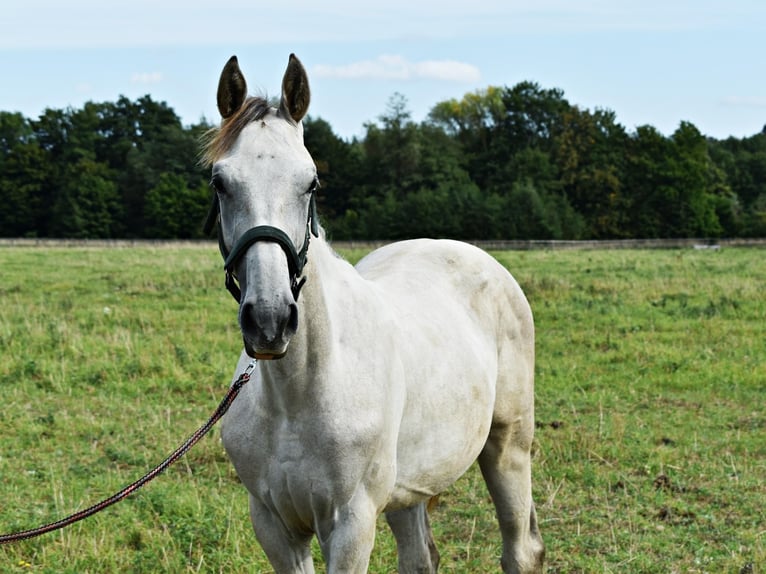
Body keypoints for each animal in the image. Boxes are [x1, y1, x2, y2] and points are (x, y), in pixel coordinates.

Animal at [201, 54, 544, 574]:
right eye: (221, 182)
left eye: (311, 182)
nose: (270, 320)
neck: (297, 394)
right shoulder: (274, 526)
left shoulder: (351, 524)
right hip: (408, 489)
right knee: (420, 557)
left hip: (508, 446)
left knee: (521, 550)